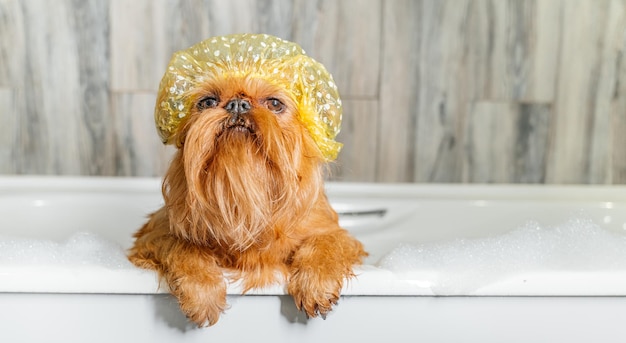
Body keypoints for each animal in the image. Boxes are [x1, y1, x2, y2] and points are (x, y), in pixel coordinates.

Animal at [130, 34, 368, 328]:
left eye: (274, 104)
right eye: (207, 102)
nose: (237, 103)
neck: (247, 202)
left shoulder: (334, 233)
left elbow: (324, 244)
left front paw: (316, 282)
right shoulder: (153, 235)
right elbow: (184, 248)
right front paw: (202, 290)